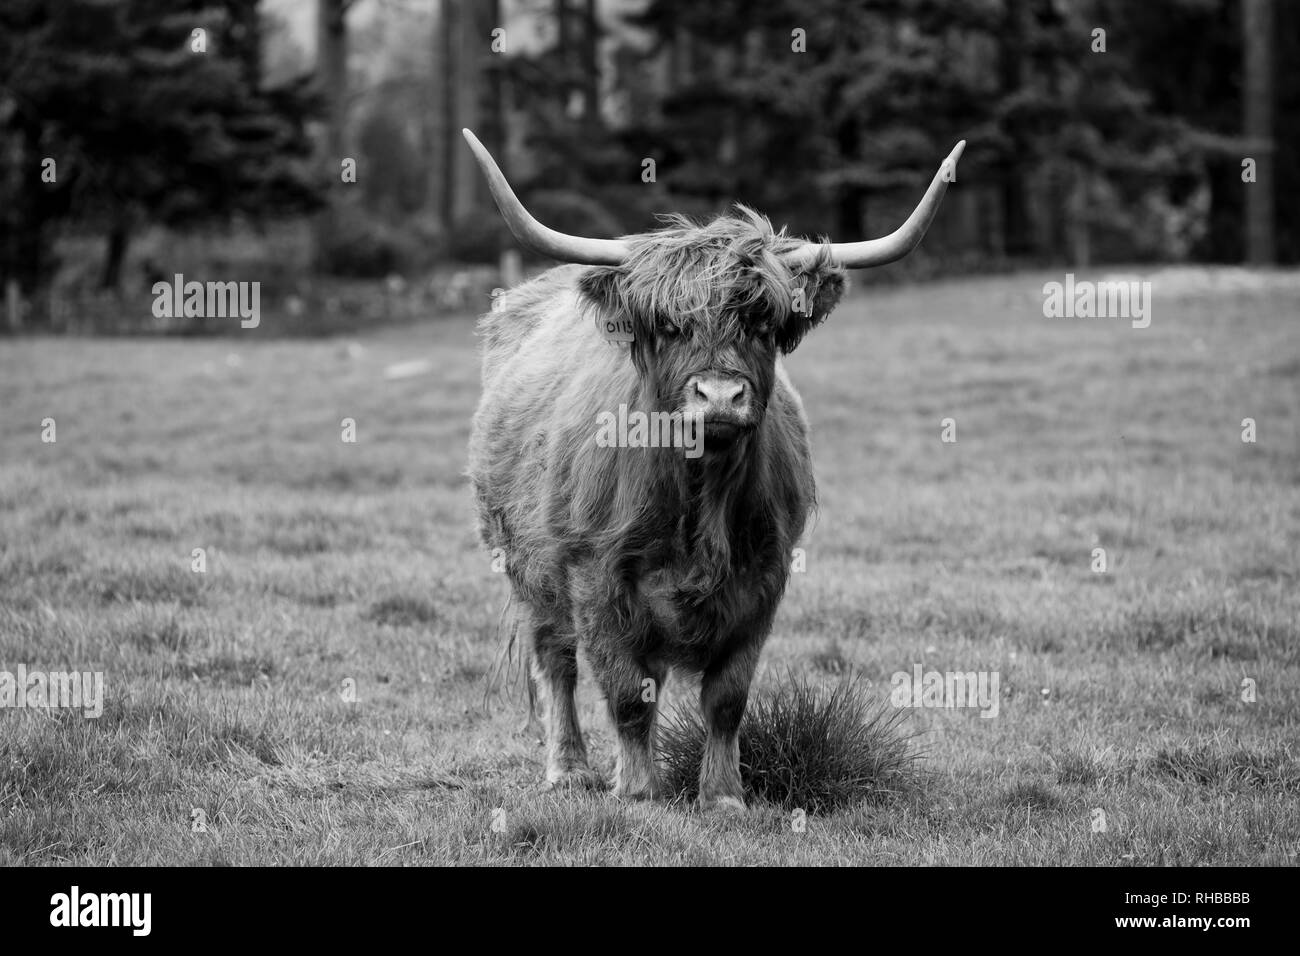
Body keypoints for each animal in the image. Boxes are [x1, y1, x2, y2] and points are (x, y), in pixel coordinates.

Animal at [462, 130, 961, 811]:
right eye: (670, 327)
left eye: (761, 324)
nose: (720, 397)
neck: (699, 497)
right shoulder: (595, 575)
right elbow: (625, 692)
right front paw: (637, 791)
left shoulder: (764, 579)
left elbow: (726, 698)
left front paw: (723, 795)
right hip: (527, 566)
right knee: (555, 661)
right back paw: (569, 768)